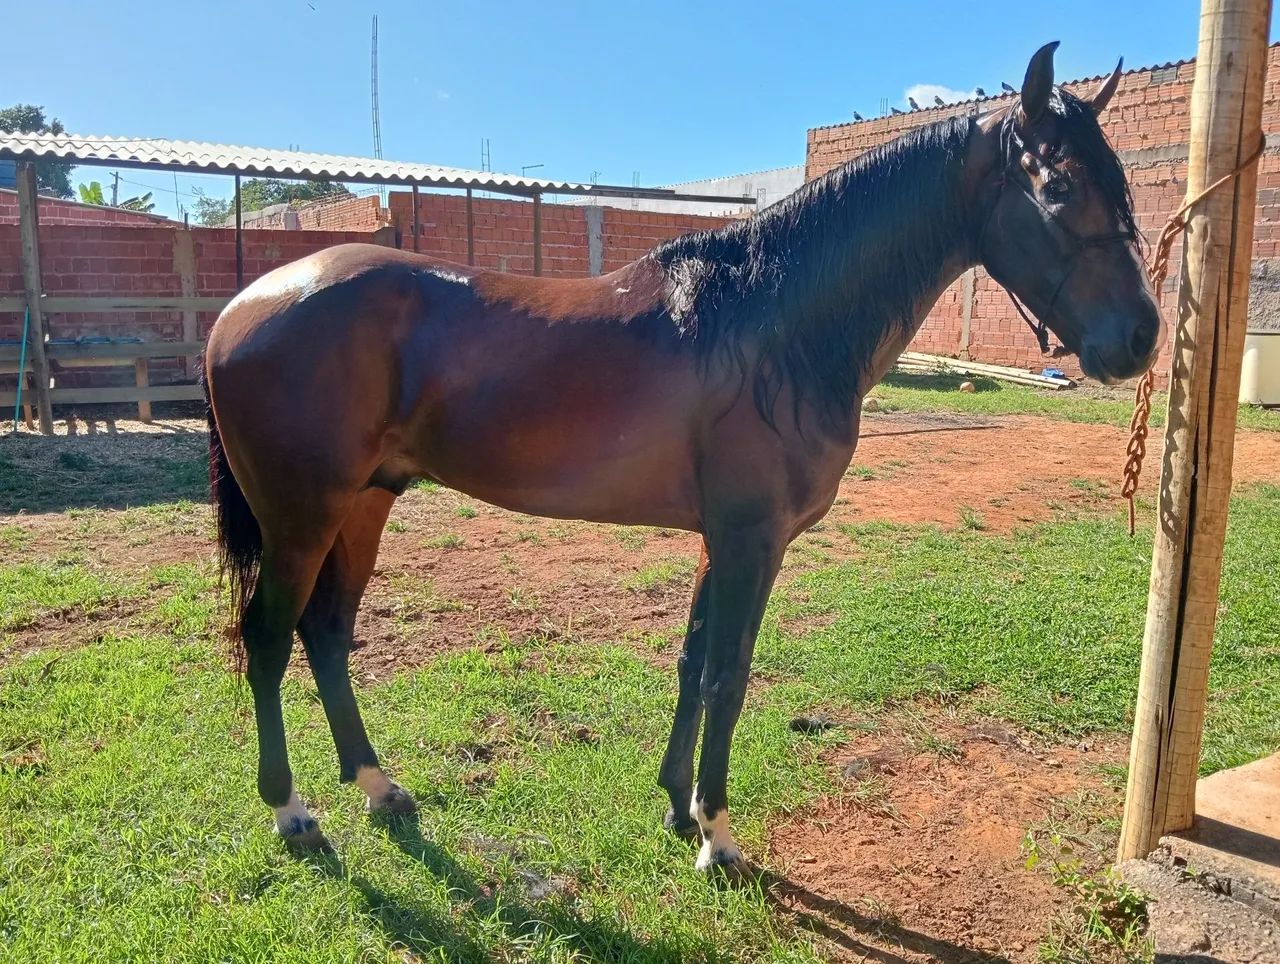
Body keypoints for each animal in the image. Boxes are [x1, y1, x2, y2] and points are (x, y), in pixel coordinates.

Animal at [203, 42, 1159, 875]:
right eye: (1058, 184)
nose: (1141, 338)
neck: (773, 322)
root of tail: (240, 309)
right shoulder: (750, 541)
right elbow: (730, 676)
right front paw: (718, 836)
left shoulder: (718, 540)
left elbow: (695, 665)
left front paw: (675, 805)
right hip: (303, 518)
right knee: (268, 637)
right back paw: (293, 812)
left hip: (365, 503)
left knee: (327, 633)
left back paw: (378, 787)